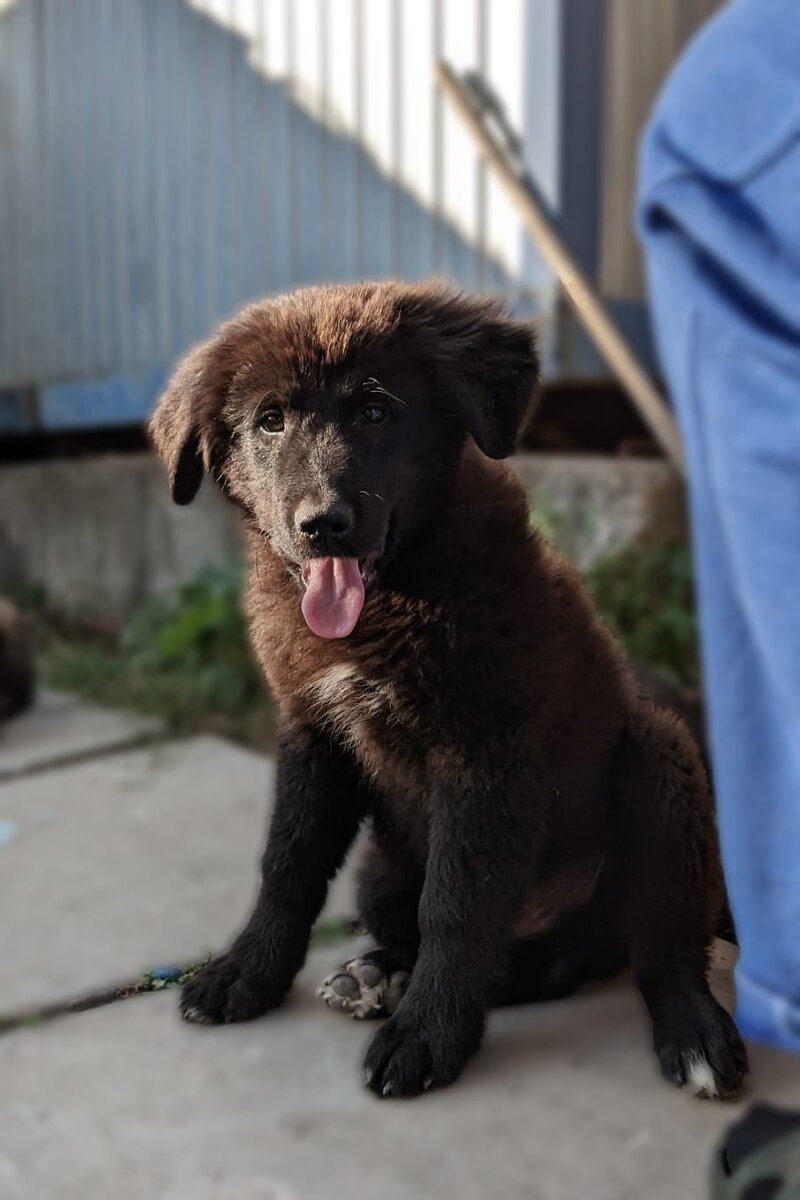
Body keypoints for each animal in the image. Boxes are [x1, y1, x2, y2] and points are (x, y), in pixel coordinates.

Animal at [151, 278, 753, 1099]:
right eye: (269, 421)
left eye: (376, 411)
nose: (323, 524)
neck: (390, 601)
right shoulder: (313, 733)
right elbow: (288, 862)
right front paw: (249, 973)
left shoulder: (482, 751)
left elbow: (457, 903)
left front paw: (429, 1036)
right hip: (381, 873)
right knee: (536, 966)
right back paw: (383, 977)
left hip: (664, 764)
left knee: (657, 945)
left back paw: (690, 1028)